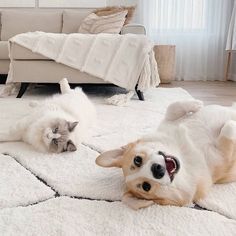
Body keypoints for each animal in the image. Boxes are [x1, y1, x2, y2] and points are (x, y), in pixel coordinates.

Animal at [95, 100, 236, 209]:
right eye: (146, 186)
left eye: (137, 160)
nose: (157, 170)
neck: (184, 155)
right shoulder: (223, 157)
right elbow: (228, 129)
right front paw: (232, 122)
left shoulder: (169, 121)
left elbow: (172, 107)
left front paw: (196, 104)